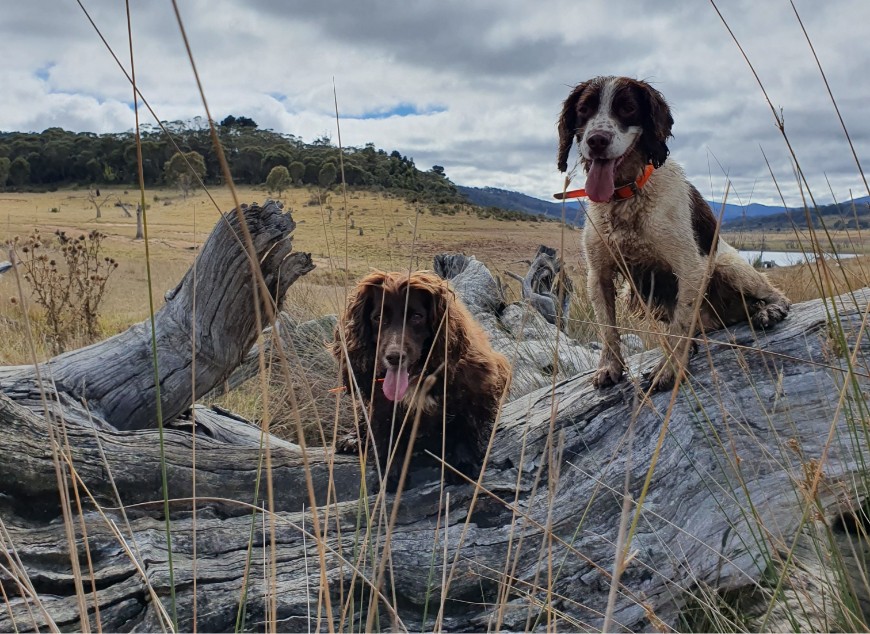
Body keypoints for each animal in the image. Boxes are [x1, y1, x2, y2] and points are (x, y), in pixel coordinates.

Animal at [560, 74, 792, 390]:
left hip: (727, 265)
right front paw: (609, 367)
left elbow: (680, 325)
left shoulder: (689, 268)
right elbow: (607, 328)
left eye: (628, 108)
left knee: (776, 294)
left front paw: (669, 368)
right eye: (584, 109)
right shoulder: (599, 273)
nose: (597, 140)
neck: (627, 194)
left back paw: (769, 310)